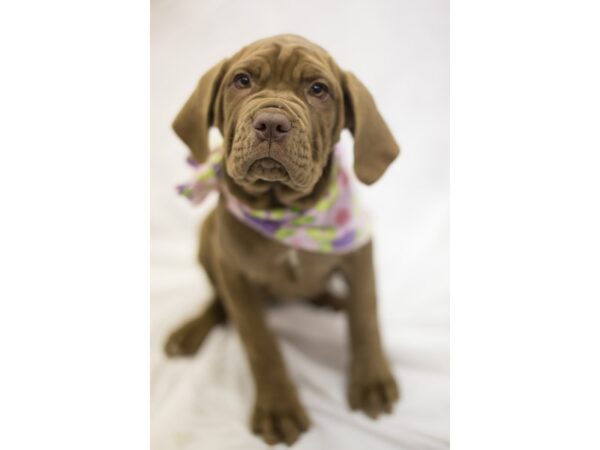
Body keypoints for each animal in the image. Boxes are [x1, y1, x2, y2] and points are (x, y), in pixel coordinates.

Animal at [165, 35, 398, 446]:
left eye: (318, 89)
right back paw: (190, 331)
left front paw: (372, 382)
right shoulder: (235, 276)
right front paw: (278, 409)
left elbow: (365, 316)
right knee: (217, 302)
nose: (272, 123)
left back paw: (331, 300)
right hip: (207, 237)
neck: (284, 210)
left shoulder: (359, 252)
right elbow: (260, 344)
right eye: (242, 80)